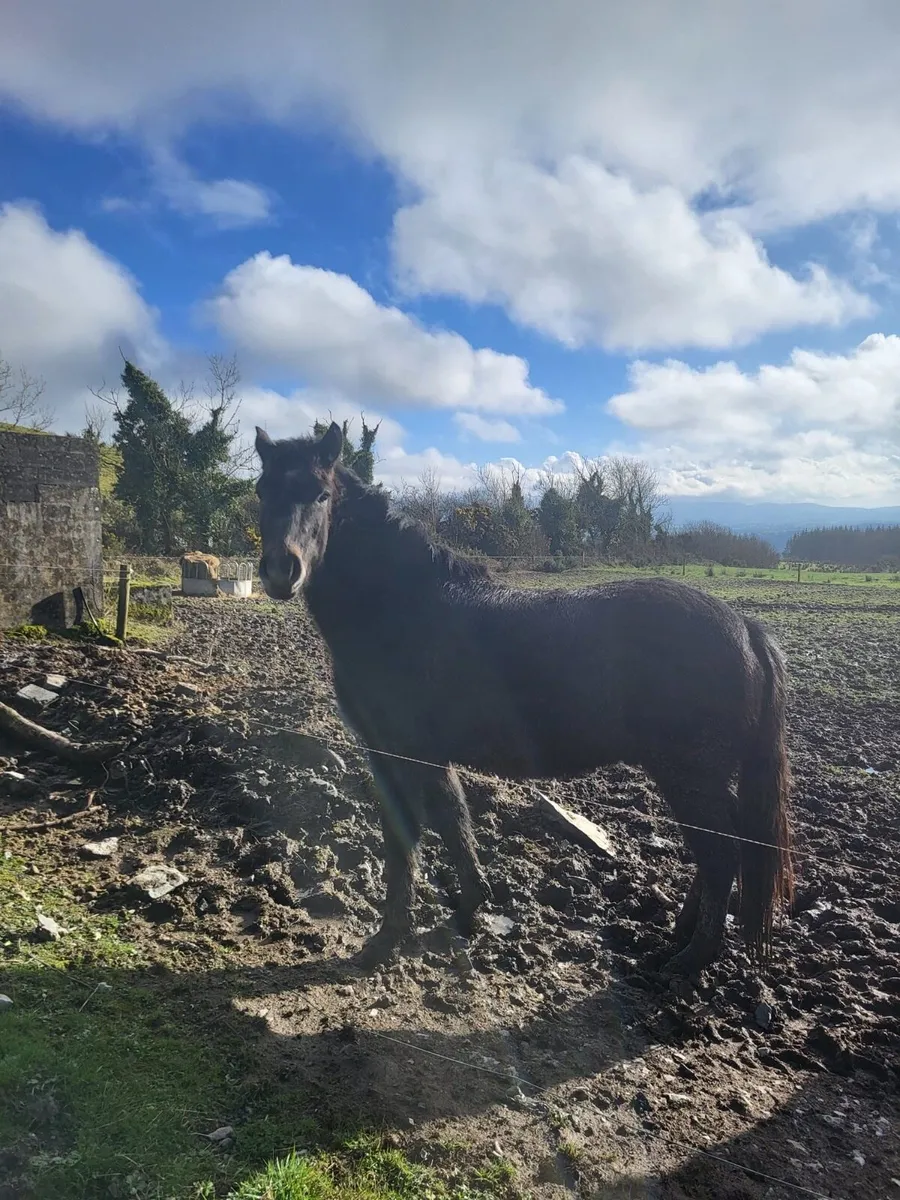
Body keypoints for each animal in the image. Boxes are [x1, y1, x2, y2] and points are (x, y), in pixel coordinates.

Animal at [254, 422, 793, 975]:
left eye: (322, 495)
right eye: (261, 492)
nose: (280, 571)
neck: (400, 606)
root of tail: (746, 628)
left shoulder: (393, 753)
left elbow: (405, 842)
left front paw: (387, 939)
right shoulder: (428, 756)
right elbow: (455, 821)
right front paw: (469, 909)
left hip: (690, 775)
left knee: (721, 855)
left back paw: (689, 959)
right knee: (717, 852)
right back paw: (681, 936)